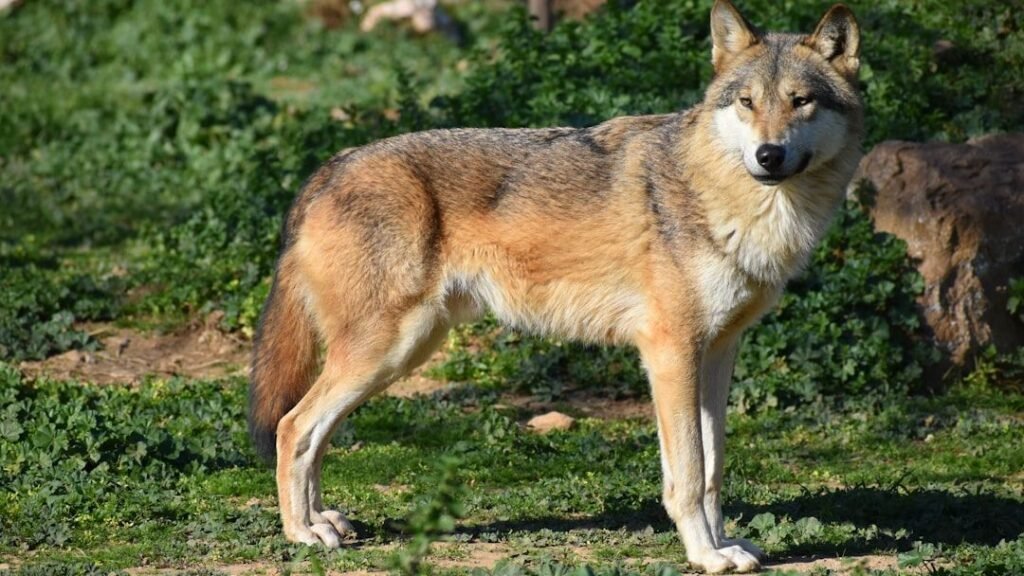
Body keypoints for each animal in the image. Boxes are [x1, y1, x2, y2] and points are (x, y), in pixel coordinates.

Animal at [248, 1, 862, 572]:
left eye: (801, 101)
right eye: (747, 102)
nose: (768, 155)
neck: (725, 198)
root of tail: (329, 167)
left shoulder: (716, 354)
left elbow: (712, 470)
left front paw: (727, 544)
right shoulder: (670, 354)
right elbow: (687, 476)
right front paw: (704, 555)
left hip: (399, 353)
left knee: (313, 432)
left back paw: (323, 519)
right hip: (387, 351)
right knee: (292, 426)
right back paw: (302, 533)